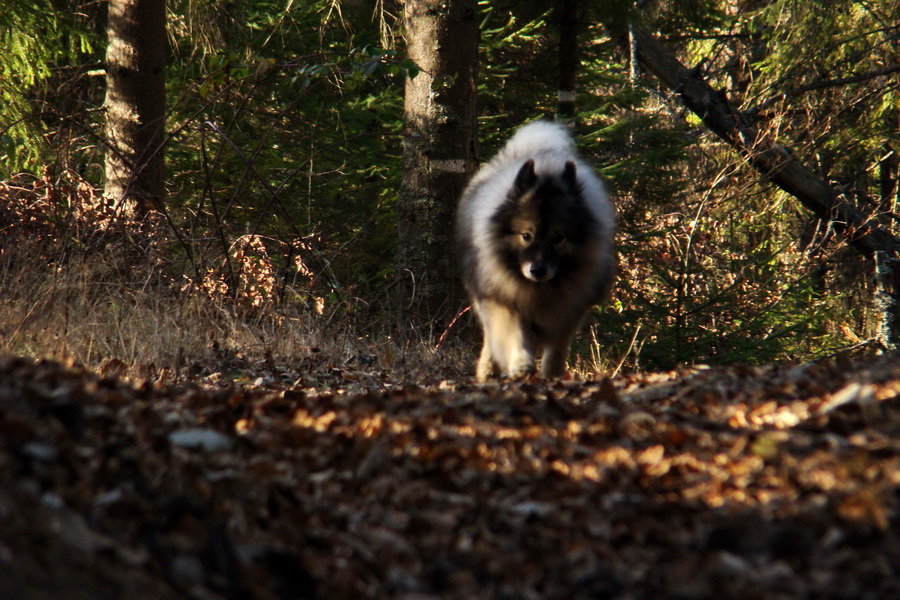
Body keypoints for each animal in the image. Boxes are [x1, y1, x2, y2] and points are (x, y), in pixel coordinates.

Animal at [458, 122, 612, 382]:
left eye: (558, 238)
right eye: (526, 236)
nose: (537, 270)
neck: (539, 290)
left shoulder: (568, 312)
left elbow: (557, 351)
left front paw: (553, 376)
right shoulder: (503, 299)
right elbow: (512, 334)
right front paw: (520, 363)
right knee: (490, 339)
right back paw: (488, 371)